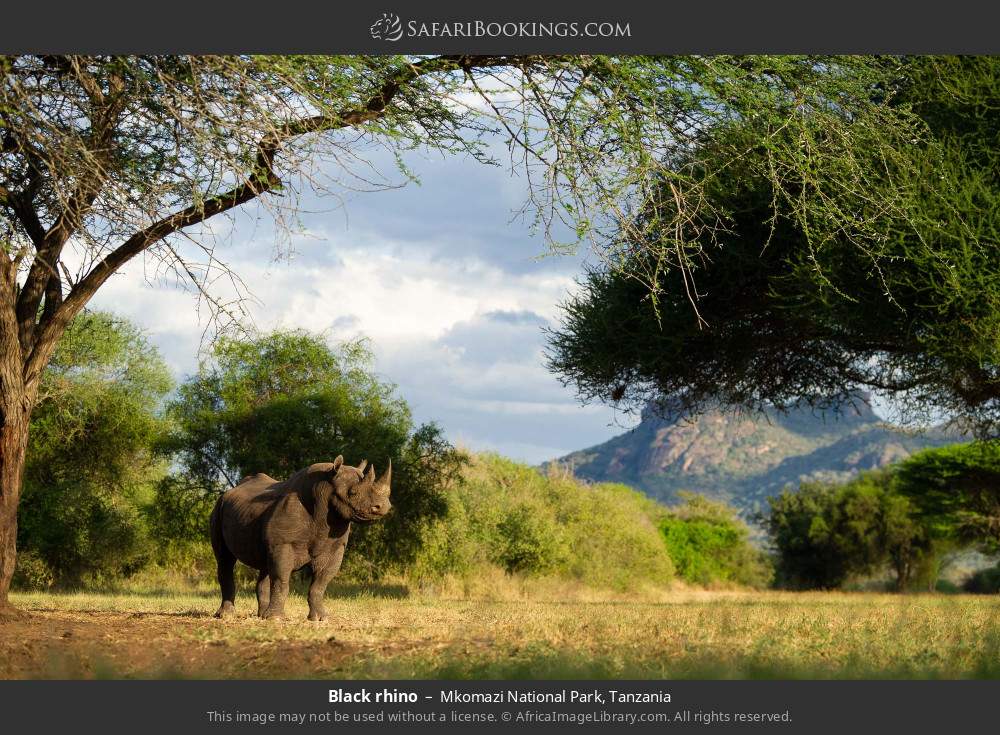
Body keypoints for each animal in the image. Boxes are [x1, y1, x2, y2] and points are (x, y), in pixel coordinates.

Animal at [209, 456, 391, 621]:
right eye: (352, 493)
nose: (384, 506)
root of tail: (230, 490)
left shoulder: (335, 547)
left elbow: (321, 582)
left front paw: (320, 618)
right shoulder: (284, 543)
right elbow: (281, 580)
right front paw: (276, 619)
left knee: (265, 564)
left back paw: (261, 616)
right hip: (218, 508)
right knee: (225, 560)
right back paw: (226, 616)